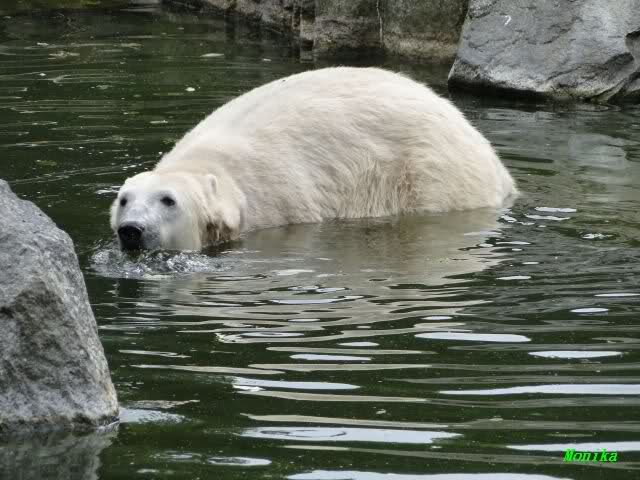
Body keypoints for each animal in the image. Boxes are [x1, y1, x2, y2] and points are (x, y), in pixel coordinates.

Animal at [111, 67, 517, 251]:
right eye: (124, 200)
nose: (131, 230)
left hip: (433, 175)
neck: (215, 168)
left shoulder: (279, 200)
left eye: (168, 200)